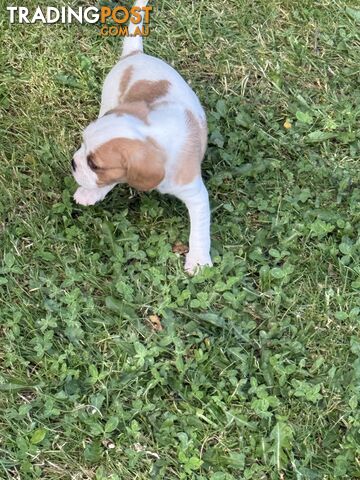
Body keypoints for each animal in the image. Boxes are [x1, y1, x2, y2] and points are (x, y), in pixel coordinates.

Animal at [72, 0, 211, 274]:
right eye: (82, 143)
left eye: (95, 164)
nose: (73, 162)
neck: (153, 134)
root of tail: (135, 54)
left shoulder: (196, 194)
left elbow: (200, 230)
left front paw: (199, 260)